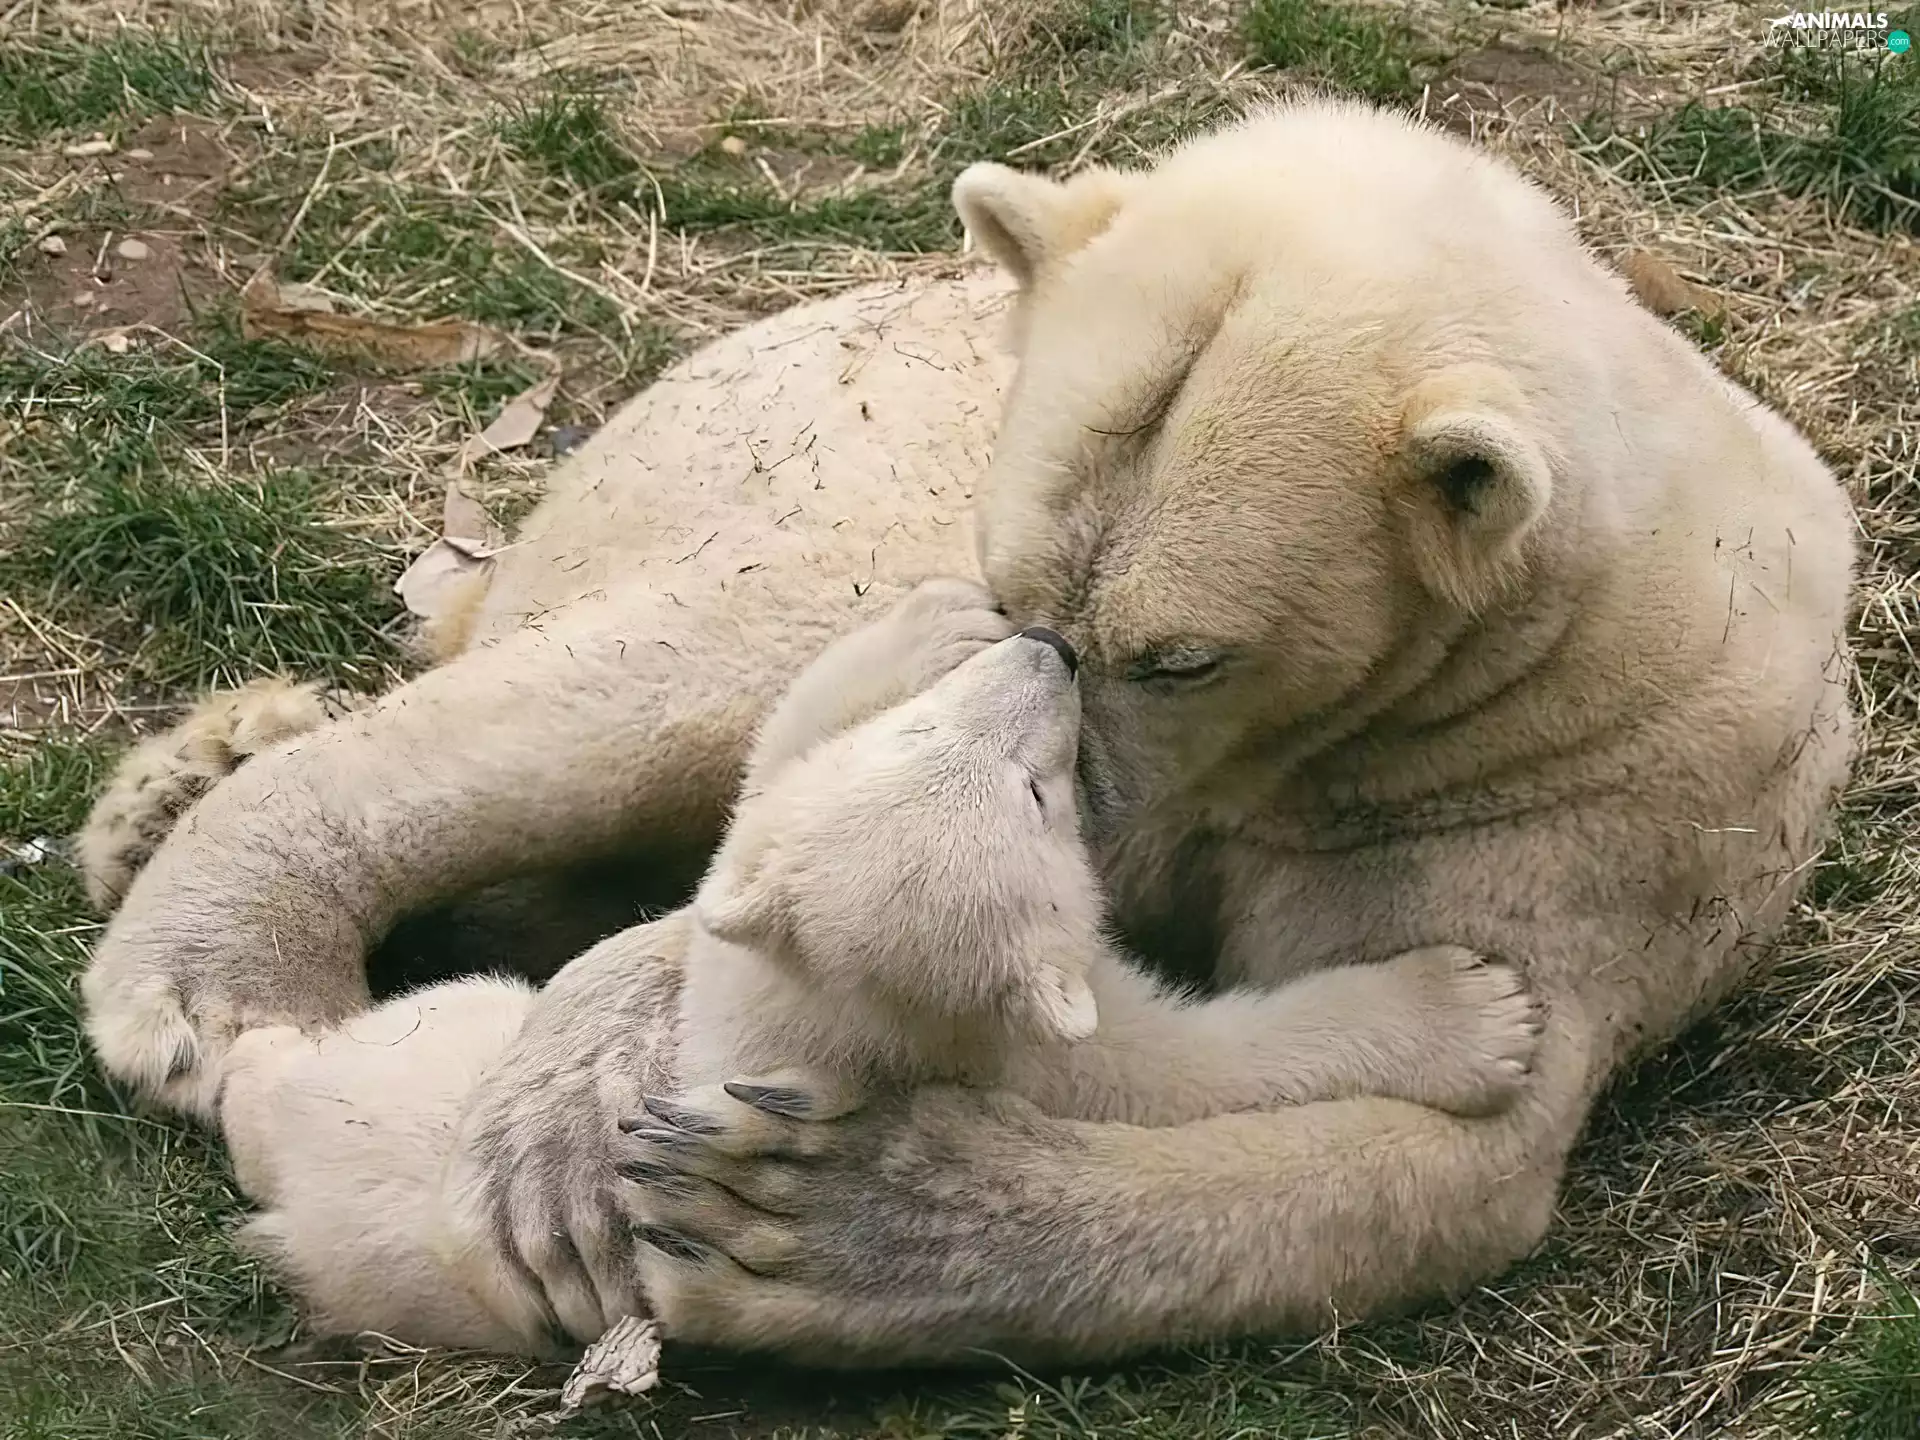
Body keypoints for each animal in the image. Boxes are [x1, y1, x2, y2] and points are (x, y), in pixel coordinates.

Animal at [212, 580, 1543, 1354]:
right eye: (1039, 794)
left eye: (925, 728)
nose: (1050, 646)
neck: (840, 1015)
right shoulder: (1039, 1052)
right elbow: (1200, 1065)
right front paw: (1476, 1009)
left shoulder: (742, 935)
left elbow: (766, 775)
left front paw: (929, 621)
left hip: (441, 1037)